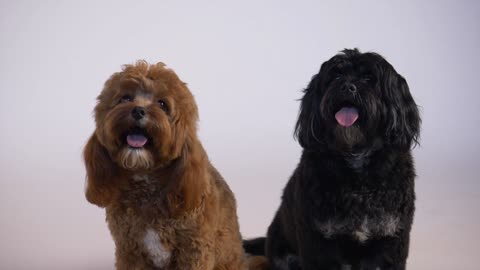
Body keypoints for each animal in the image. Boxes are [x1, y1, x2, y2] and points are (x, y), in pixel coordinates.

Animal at [84, 61, 253, 270]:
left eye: (162, 104)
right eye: (125, 98)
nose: (138, 110)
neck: (147, 182)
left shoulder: (195, 250)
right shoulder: (129, 249)